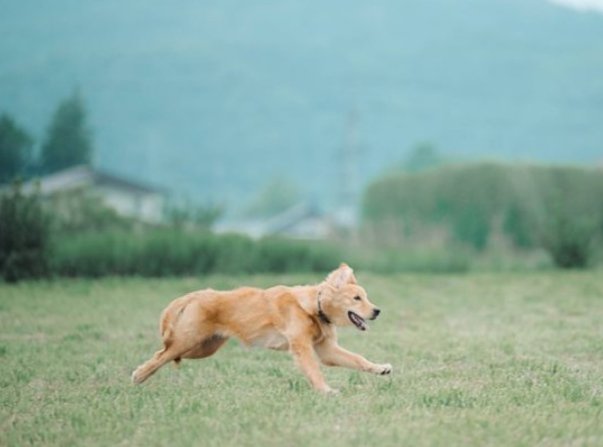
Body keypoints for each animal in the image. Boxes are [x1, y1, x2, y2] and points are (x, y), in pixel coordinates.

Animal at [132, 264, 392, 394]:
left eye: (366, 297)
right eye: (357, 298)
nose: (378, 311)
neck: (313, 307)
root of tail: (195, 295)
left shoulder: (326, 350)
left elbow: (357, 359)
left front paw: (380, 368)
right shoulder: (301, 346)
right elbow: (313, 370)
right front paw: (326, 390)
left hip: (203, 348)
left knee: (166, 355)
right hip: (189, 341)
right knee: (162, 355)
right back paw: (139, 375)